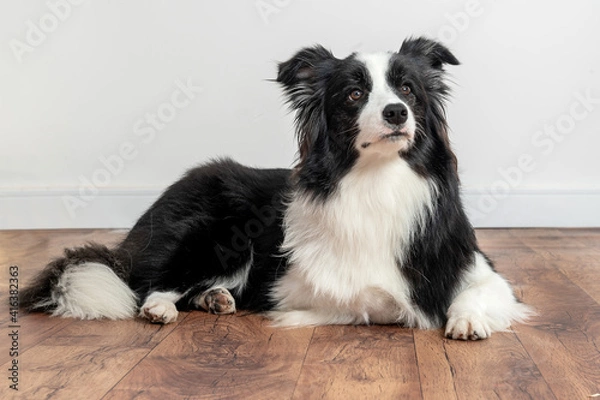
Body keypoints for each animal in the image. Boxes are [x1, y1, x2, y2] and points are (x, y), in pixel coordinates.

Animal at [21, 37, 532, 340]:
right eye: (354, 94)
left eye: (407, 90)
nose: (395, 113)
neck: (377, 180)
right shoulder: (300, 287)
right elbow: (376, 300)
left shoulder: (476, 265)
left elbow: (477, 291)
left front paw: (466, 318)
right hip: (211, 234)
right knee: (147, 284)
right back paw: (163, 308)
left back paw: (215, 298)